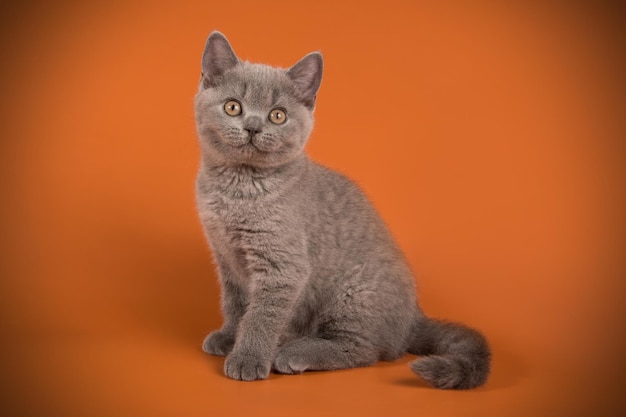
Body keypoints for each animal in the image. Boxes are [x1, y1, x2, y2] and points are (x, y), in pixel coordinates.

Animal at [194, 30, 488, 388]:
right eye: (233, 107)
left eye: (278, 115)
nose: (252, 127)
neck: (237, 189)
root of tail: (413, 318)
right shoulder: (227, 258)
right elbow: (236, 304)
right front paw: (229, 336)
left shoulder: (282, 266)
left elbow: (262, 315)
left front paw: (247, 358)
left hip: (354, 293)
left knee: (363, 351)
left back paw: (294, 352)